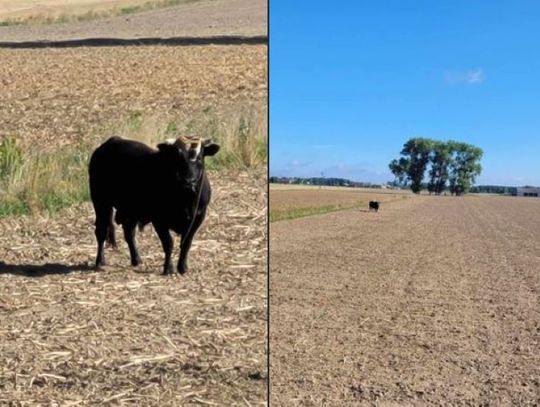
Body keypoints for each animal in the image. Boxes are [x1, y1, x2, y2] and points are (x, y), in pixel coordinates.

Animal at [88, 135, 219, 276]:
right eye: (178, 157)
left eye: (199, 158)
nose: (188, 182)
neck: (186, 200)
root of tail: (111, 141)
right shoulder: (159, 220)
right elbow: (168, 243)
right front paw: (168, 268)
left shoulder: (198, 217)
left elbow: (186, 243)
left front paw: (183, 267)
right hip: (101, 203)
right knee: (101, 231)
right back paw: (100, 260)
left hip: (129, 211)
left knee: (129, 233)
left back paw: (136, 259)